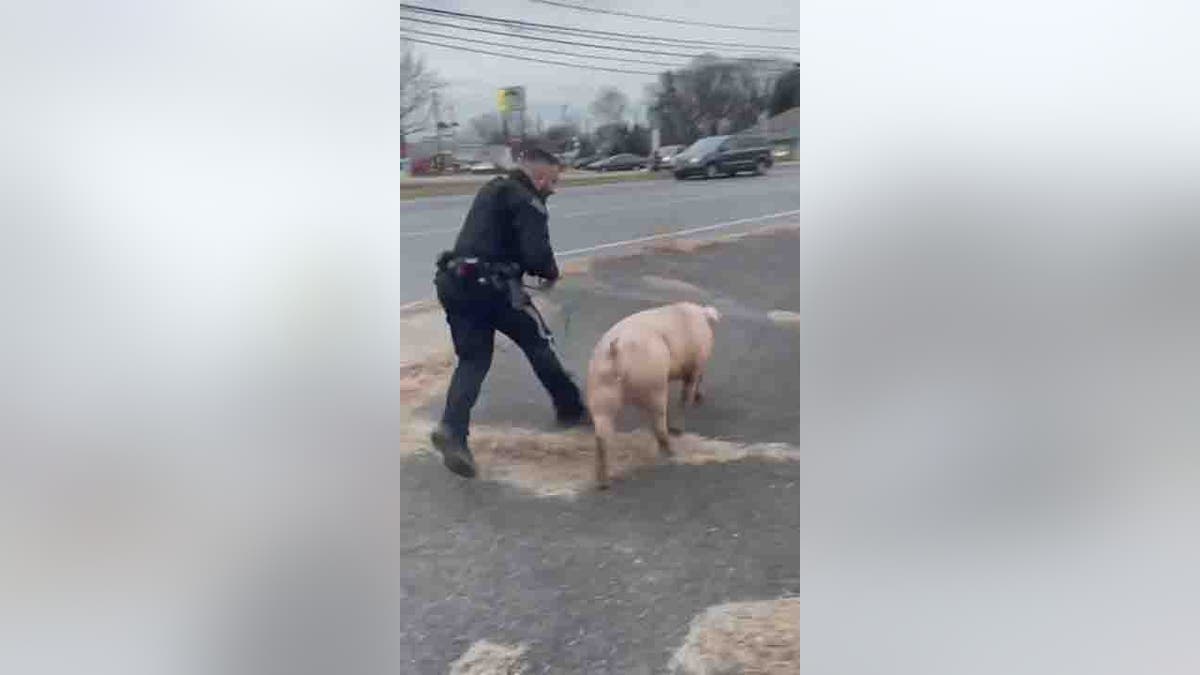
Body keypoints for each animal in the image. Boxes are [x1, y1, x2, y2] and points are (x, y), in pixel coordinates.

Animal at [583, 302, 715, 485]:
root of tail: (615, 351)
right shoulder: (694, 366)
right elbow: (686, 393)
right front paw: (680, 424)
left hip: (600, 389)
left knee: (602, 435)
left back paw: (604, 482)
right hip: (654, 384)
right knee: (659, 421)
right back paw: (671, 450)